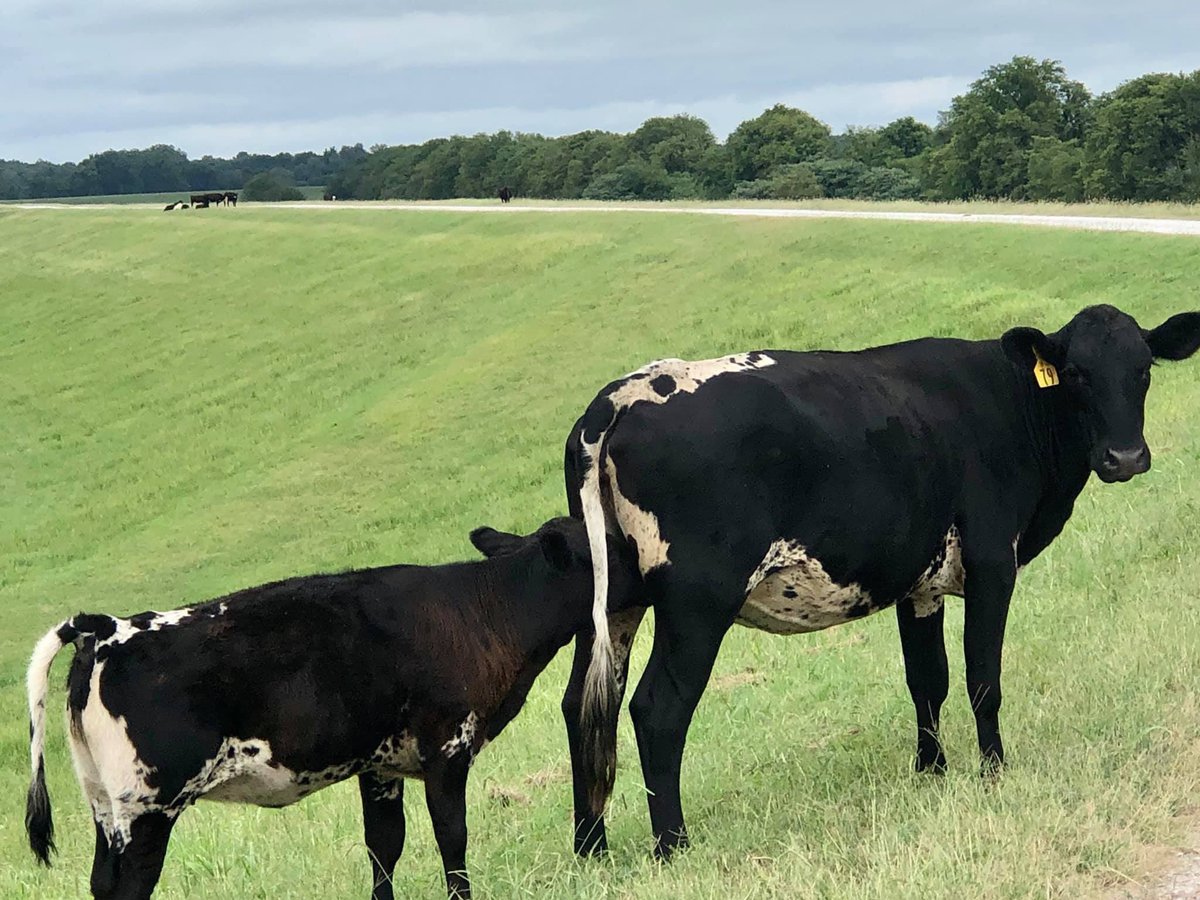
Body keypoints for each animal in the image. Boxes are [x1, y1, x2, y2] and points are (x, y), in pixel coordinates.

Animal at [25, 517, 640, 900]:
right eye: (610, 547)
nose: (652, 565)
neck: (486, 611)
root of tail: (107, 627)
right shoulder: (447, 749)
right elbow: (452, 837)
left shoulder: (381, 763)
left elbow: (384, 846)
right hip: (147, 809)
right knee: (129, 886)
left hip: (105, 806)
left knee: (102, 882)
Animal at [560, 304, 1200, 860]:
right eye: (1076, 374)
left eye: (1143, 370)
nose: (1125, 457)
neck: (1010, 402)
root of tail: (623, 394)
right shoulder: (993, 563)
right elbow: (982, 680)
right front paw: (994, 772)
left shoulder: (920, 584)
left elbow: (928, 681)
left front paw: (932, 772)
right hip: (697, 604)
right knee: (658, 710)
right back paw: (673, 846)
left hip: (613, 602)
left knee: (586, 706)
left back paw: (591, 849)